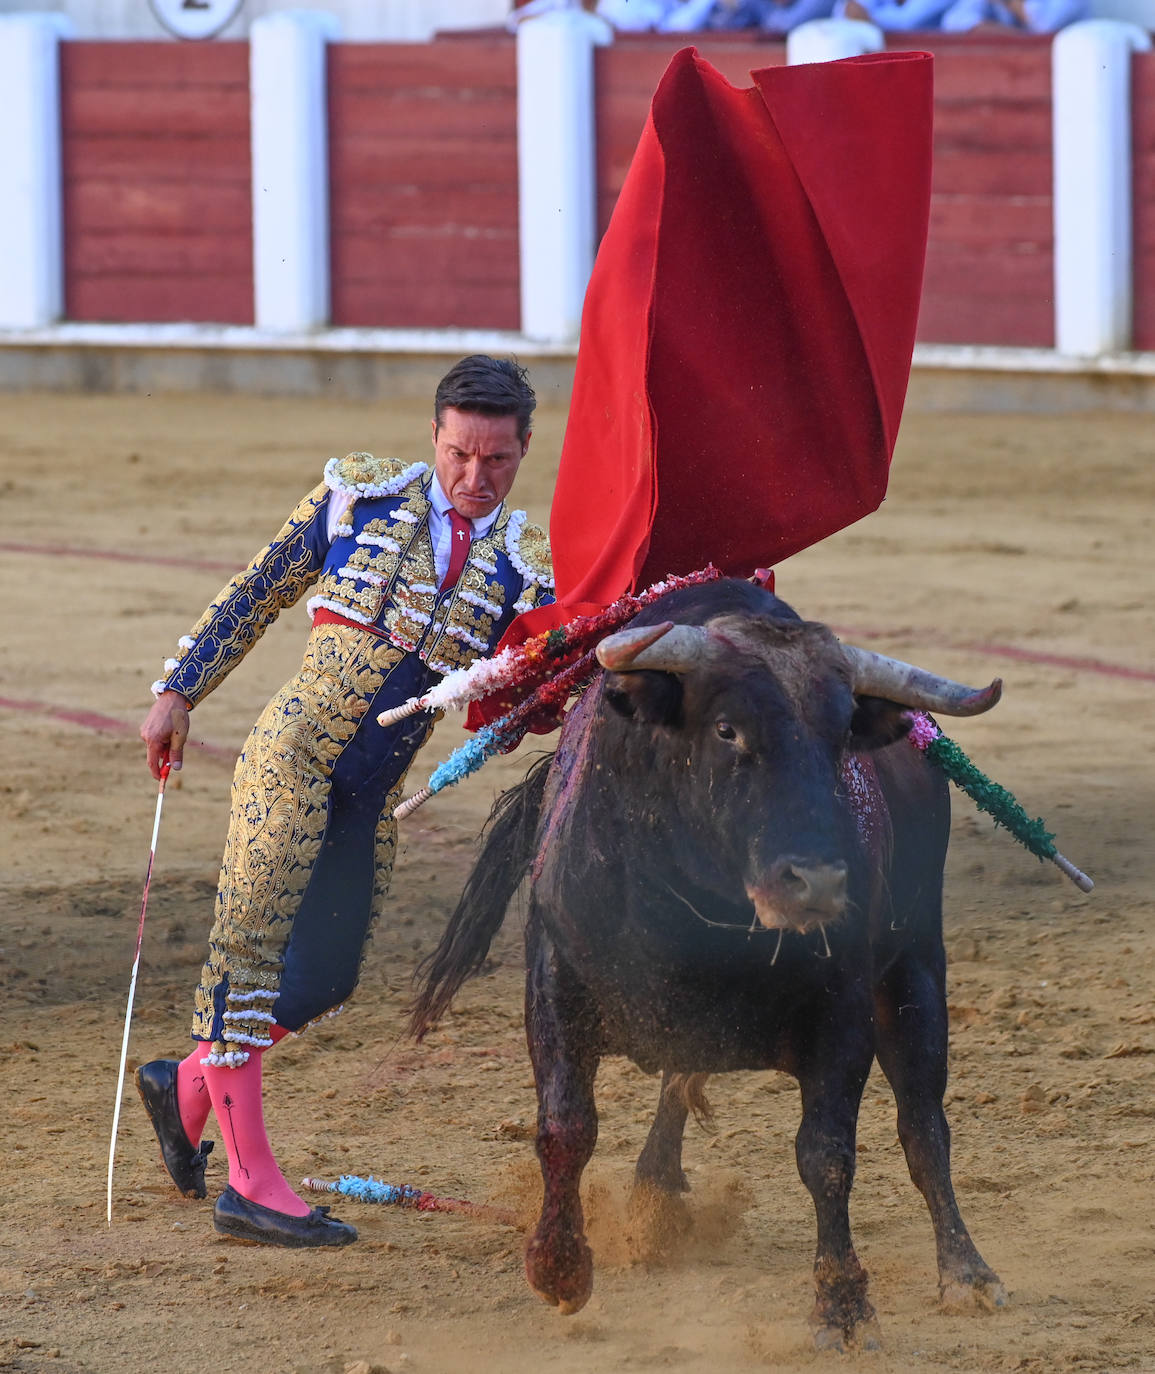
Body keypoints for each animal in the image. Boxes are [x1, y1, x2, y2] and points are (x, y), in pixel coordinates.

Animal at [409, 579, 1005, 1352]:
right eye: (726, 730)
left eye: (840, 735)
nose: (816, 882)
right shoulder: (555, 987)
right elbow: (566, 1127)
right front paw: (559, 1269)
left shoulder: (841, 1015)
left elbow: (827, 1155)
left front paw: (843, 1309)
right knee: (675, 1086)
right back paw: (655, 1198)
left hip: (916, 968)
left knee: (923, 1124)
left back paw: (967, 1273)